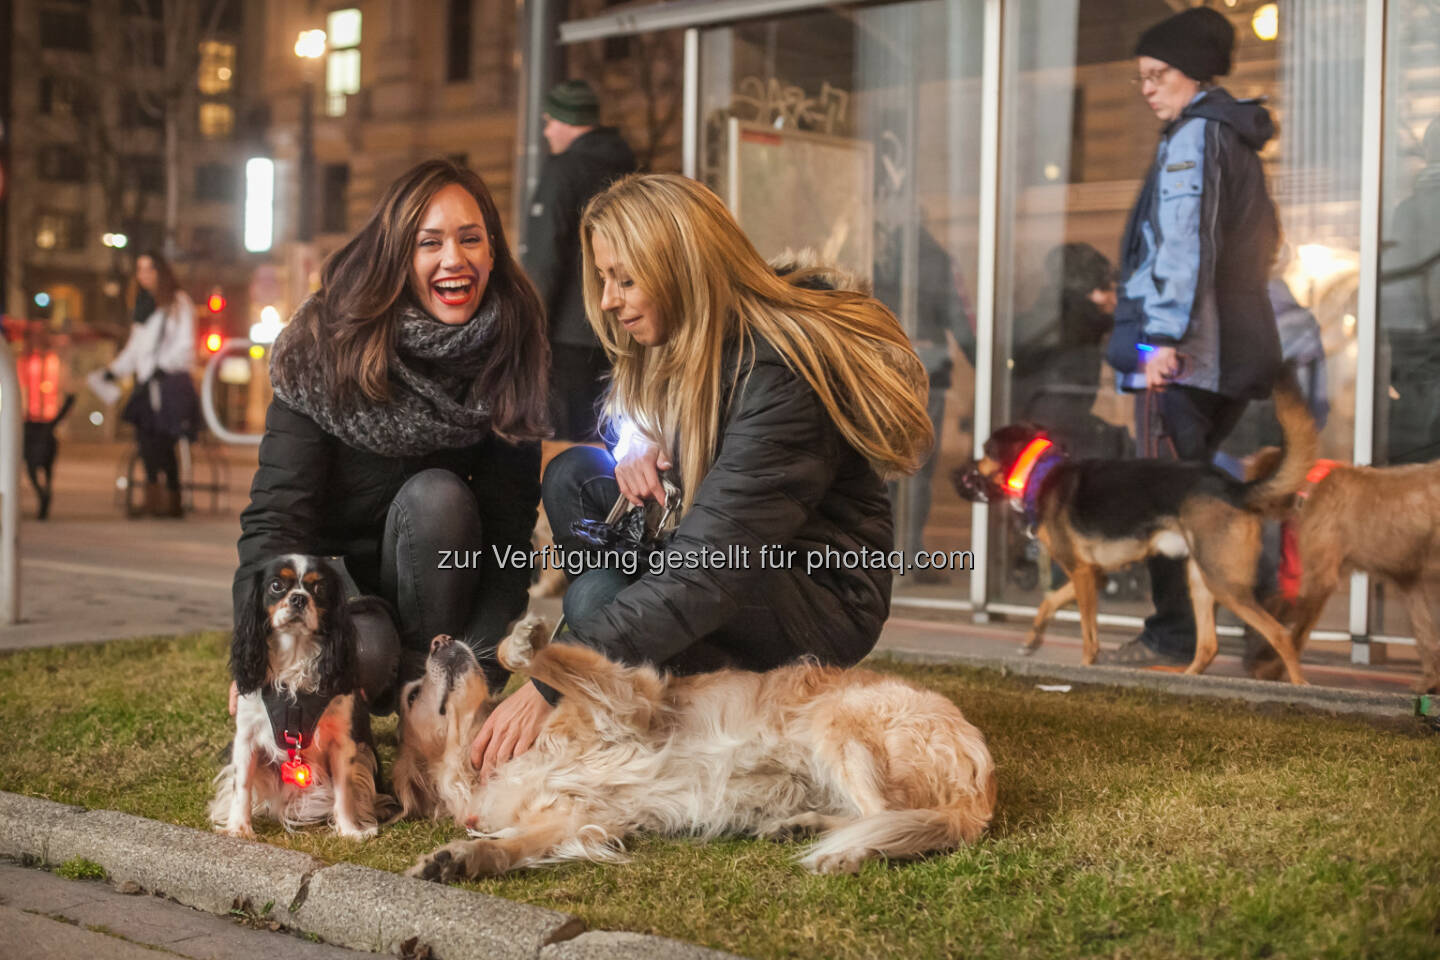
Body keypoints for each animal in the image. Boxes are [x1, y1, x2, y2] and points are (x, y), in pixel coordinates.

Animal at [210, 555, 383, 840]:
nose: (299, 598)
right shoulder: (246, 736)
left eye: (319, 588)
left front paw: (349, 831)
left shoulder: (342, 742)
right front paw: (239, 828)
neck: (295, 652)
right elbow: (241, 785)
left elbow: (344, 791)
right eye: (276, 585)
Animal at [394, 618, 996, 880]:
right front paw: (461, 859)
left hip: (836, 723)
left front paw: (522, 642)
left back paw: (852, 852)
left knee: (890, 816)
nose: (439, 640)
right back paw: (803, 827)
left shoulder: (630, 703)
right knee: (876, 817)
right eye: (410, 694)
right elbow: (513, 844)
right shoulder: (577, 817)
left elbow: (544, 660)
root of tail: (979, 792)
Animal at [950, 379, 1319, 687]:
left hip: (1225, 584)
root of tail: (1234, 487)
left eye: (984, 452)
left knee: (1280, 634)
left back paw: (1299, 685)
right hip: (1201, 579)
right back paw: (1185, 679)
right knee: (1208, 645)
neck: (1039, 472)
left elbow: (1089, 635)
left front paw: (1084, 667)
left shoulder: (1082, 575)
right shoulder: (1091, 574)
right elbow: (1049, 600)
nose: (956, 472)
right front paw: (1032, 639)